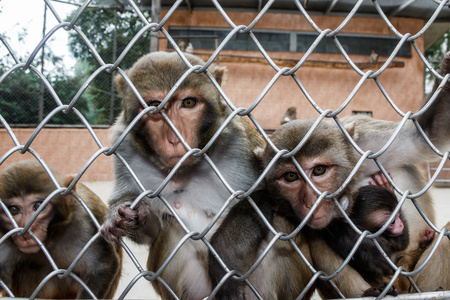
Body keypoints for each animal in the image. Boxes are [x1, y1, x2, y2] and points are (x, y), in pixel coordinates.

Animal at [0, 159, 122, 298]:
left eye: (38, 205)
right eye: (13, 209)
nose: (25, 234)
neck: (51, 239)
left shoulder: (84, 226)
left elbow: (102, 267)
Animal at [100, 50, 266, 298]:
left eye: (188, 103)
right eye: (154, 106)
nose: (174, 139)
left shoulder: (240, 143)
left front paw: (225, 260)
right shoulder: (125, 149)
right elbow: (153, 230)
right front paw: (123, 216)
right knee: (172, 227)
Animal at [210, 51, 450, 298]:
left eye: (319, 170)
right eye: (290, 177)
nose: (311, 201)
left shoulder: (367, 143)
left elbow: (425, 136)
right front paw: (361, 245)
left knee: (443, 240)